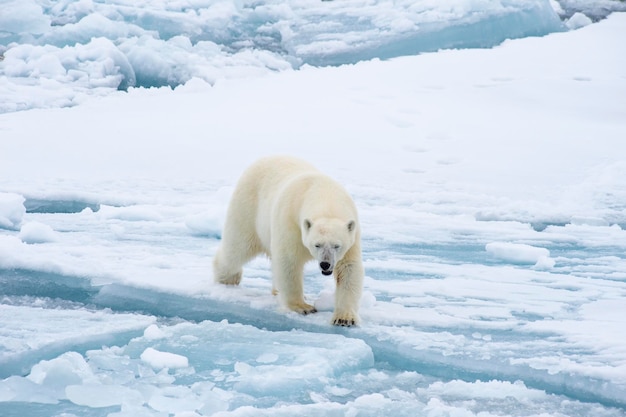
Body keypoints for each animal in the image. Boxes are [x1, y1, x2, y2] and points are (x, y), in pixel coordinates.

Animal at [213, 155, 364, 324]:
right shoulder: (291, 222)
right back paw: (228, 279)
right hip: (247, 207)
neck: (324, 195)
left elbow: (348, 268)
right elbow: (289, 262)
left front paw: (345, 318)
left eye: (337, 245)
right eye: (317, 245)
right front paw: (303, 307)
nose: (325, 264)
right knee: (237, 247)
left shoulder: (353, 236)